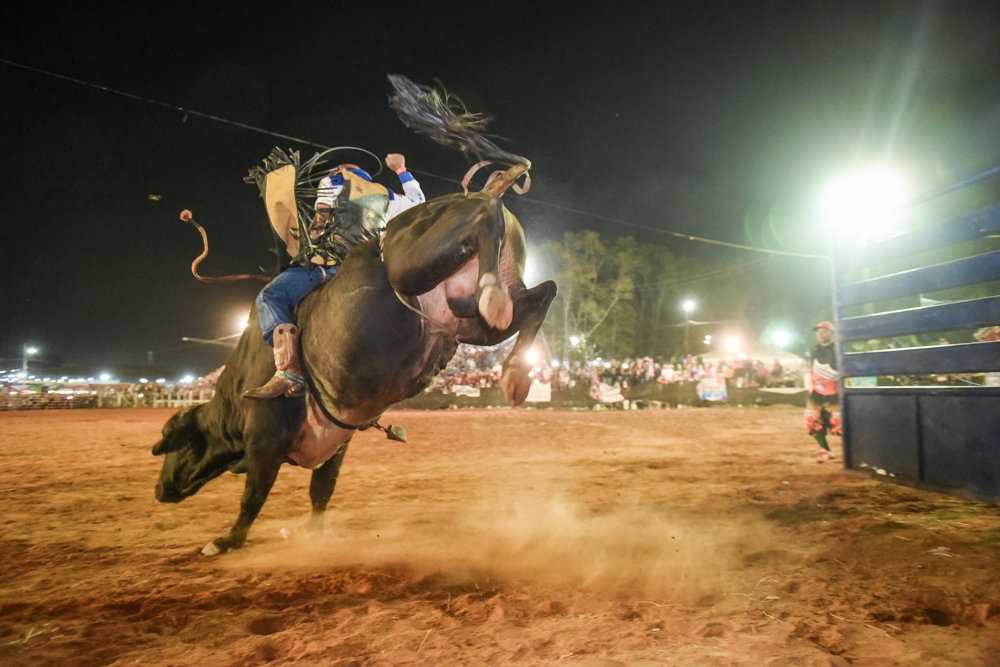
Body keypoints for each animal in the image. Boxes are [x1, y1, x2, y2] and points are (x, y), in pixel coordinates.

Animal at [152, 75, 560, 556]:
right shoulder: (337, 440)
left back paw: (495, 301)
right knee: (540, 295)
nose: (159, 490)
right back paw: (515, 373)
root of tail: (483, 190)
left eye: (174, 446)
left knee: (487, 231)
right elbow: (321, 489)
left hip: (415, 264)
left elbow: (254, 495)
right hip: (468, 319)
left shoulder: (263, 441)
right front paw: (313, 533)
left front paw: (225, 541)